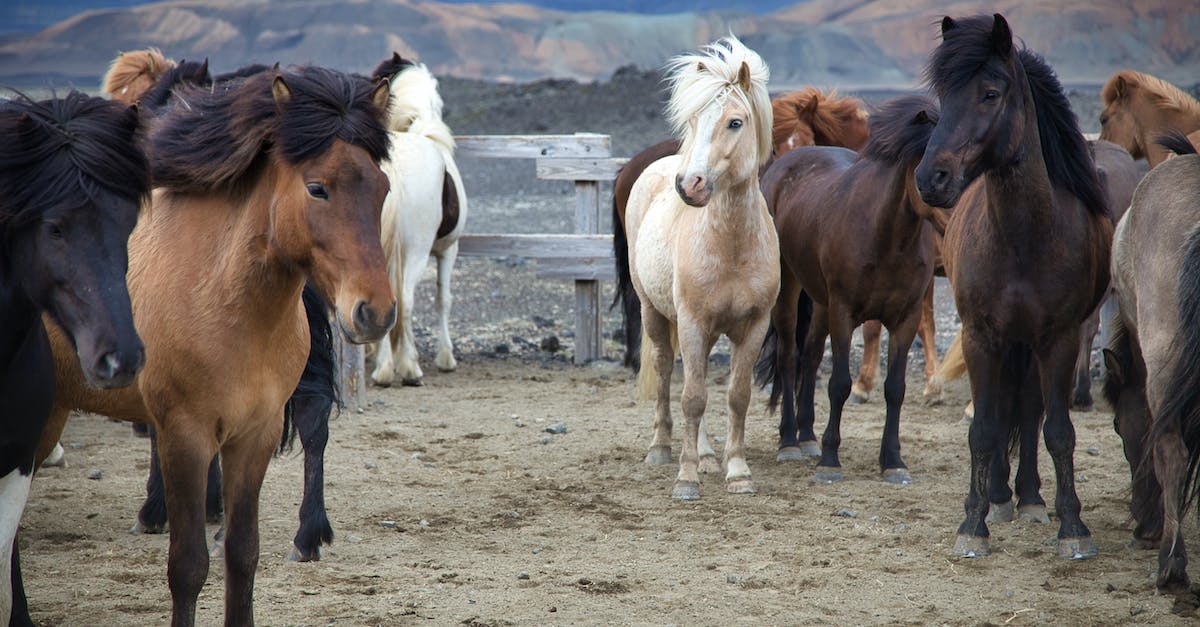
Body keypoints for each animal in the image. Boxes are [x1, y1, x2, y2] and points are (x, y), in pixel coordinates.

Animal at [32, 66, 395, 626]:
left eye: (383, 188)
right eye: (317, 188)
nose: (375, 312)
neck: (222, 297)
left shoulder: (255, 433)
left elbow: (243, 555)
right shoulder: (185, 433)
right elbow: (187, 566)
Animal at [368, 52, 467, 387]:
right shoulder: (449, 250)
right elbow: (444, 300)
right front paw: (446, 358)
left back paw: (384, 369)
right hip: (418, 252)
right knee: (406, 301)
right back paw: (409, 369)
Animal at [623, 36, 778, 499]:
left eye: (735, 122)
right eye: (693, 121)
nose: (688, 184)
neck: (732, 248)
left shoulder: (755, 325)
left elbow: (737, 396)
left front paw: (738, 471)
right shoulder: (691, 322)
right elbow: (691, 396)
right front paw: (686, 478)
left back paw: (710, 455)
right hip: (655, 314)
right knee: (666, 372)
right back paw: (662, 448)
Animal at [754, 95, 942, 482]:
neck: (887, 238)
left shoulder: (906, 318)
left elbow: (895, 389)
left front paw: (893, 461)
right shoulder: (843, 313)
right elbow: (839, 383)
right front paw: (829, 459)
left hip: (820, 301)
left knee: (810, 356)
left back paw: (807, 436)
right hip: (790, 290)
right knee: (789, 357)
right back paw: (790, 441)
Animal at [915, 14, 1112, 560]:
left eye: (990, 93)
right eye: (943, 94)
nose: (931, 177)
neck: (1023, 238)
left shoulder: (1059, 338)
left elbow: (1057, 430)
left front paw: (1073, 525)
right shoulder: (982, 336)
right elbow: (984, 427)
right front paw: (973, 522)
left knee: (1028, 410)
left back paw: (1028, 497)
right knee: (1006, 409)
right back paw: (1002, 497)